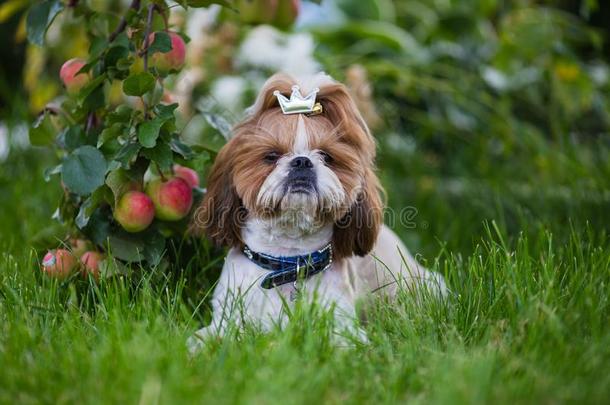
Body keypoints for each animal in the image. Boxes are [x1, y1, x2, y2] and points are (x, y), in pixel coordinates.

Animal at [188, 72, 444, 350]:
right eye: (271, 156)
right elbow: (204, 339)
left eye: (327, 157)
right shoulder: (228, 319)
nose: (302, 161)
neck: (289, 262)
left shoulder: (343, 325)